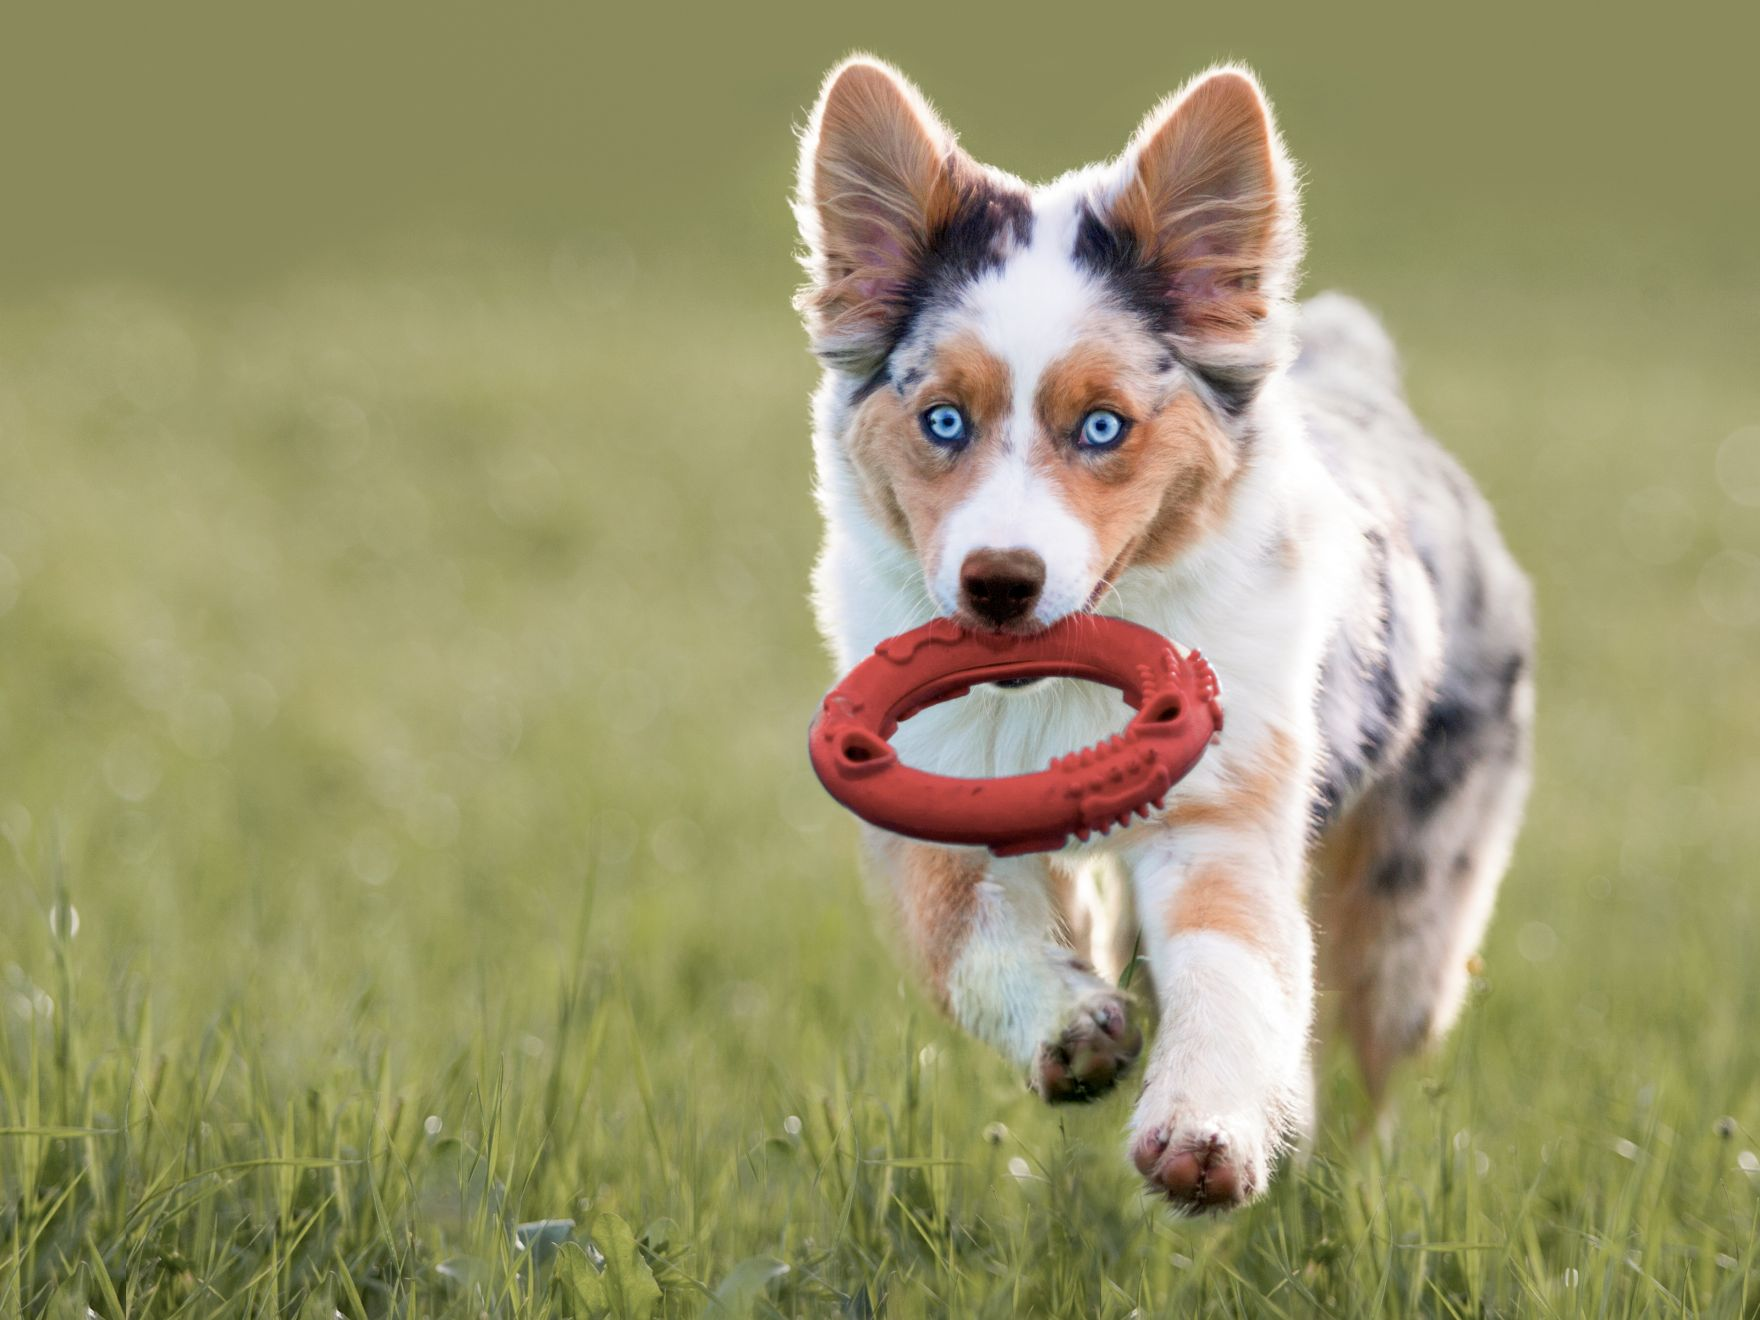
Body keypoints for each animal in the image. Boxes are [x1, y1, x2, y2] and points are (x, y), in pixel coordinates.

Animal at [792, 56, 1534, 1217]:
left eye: (1103, 427)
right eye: (942, 420)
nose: (998, 586)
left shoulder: (1221, 809)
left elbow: (1233, 971)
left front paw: (1204, 1136)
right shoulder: (924, 797)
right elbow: (965, 932)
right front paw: (1071, 1031)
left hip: (1413, 903)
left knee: (1363, 1051)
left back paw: (1323, 1191)